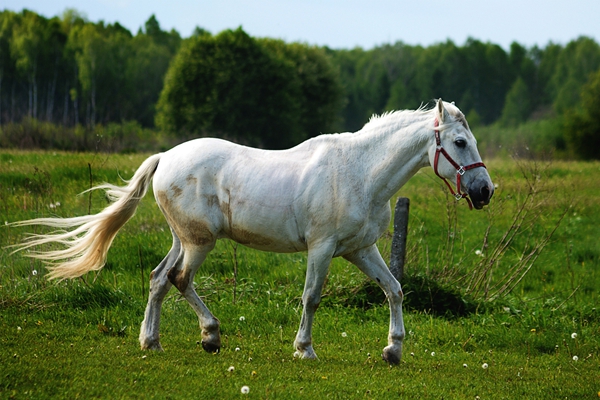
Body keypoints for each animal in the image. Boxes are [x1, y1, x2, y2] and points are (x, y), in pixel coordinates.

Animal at [12, 99, 492, 362]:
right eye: (460, 142)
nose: (485, 191)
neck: (360, 172)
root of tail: (165, 157)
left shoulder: (361, 249)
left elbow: (394, 290)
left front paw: (393, 350)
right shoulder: (321, 249)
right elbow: (311, 298)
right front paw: (304, 349)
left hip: (183, 238)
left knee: (158, 279)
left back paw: (152, 341)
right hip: (200, 242)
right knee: (179, 279)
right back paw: (210, 336)